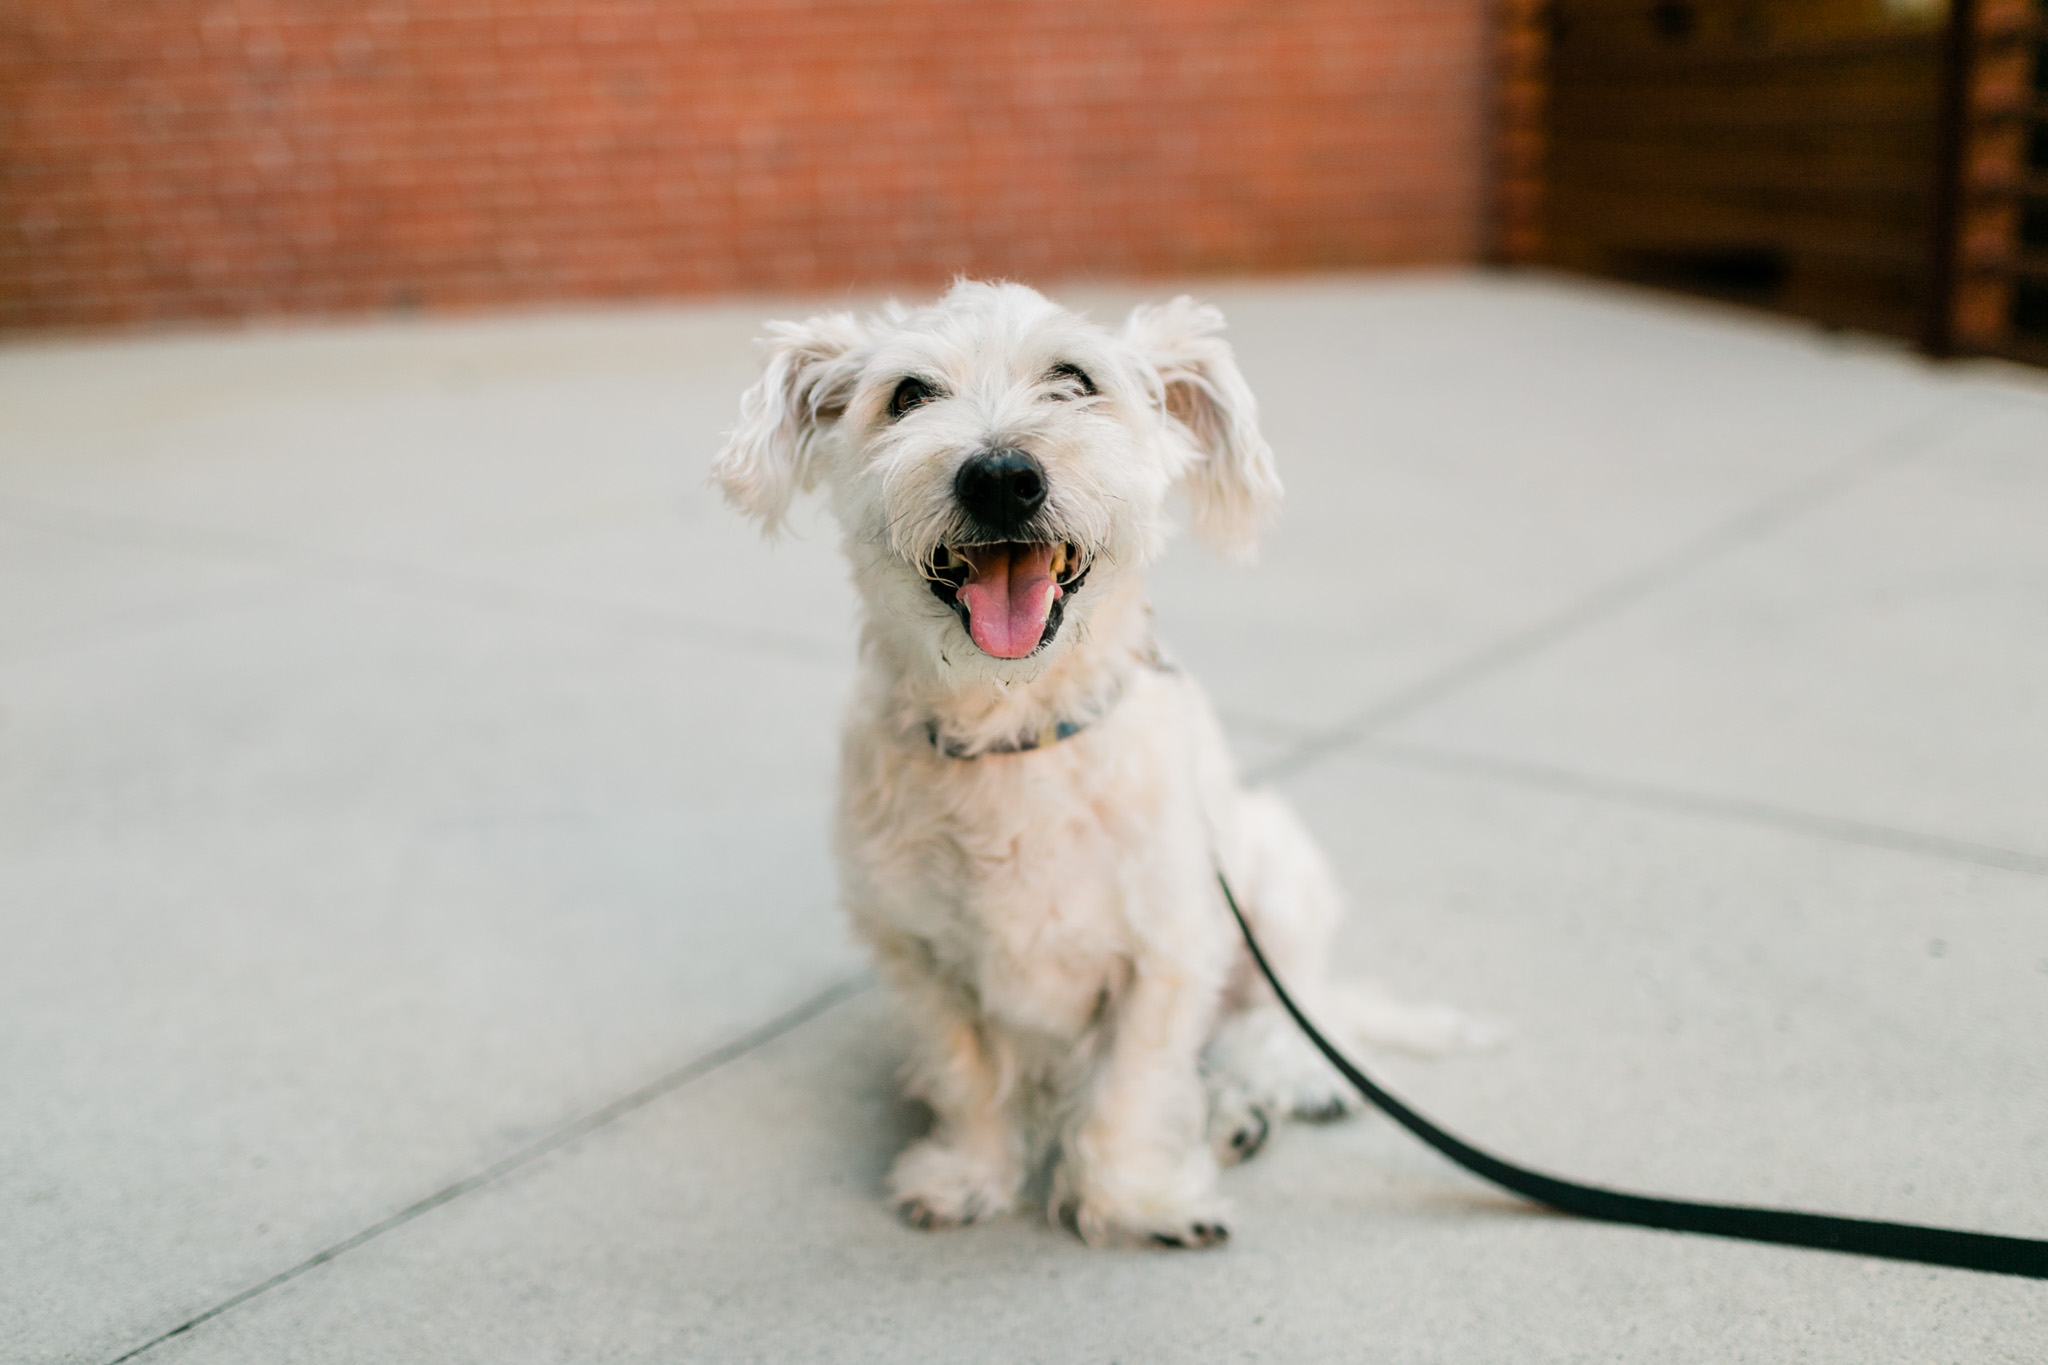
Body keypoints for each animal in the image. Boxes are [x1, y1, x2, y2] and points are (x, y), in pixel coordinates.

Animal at [720, 278, 1490, 1252]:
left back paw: (1265, 1093)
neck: (1016, 730)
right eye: (908, 395)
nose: (1001, 475)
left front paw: (1134, 1200)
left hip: (1277, 879)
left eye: (1075, 379)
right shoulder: (918, 954)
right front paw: (970, 1173)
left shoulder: (1167, 951)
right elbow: (967, 1073)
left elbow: (1132, 1085)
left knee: (1283, 1019)